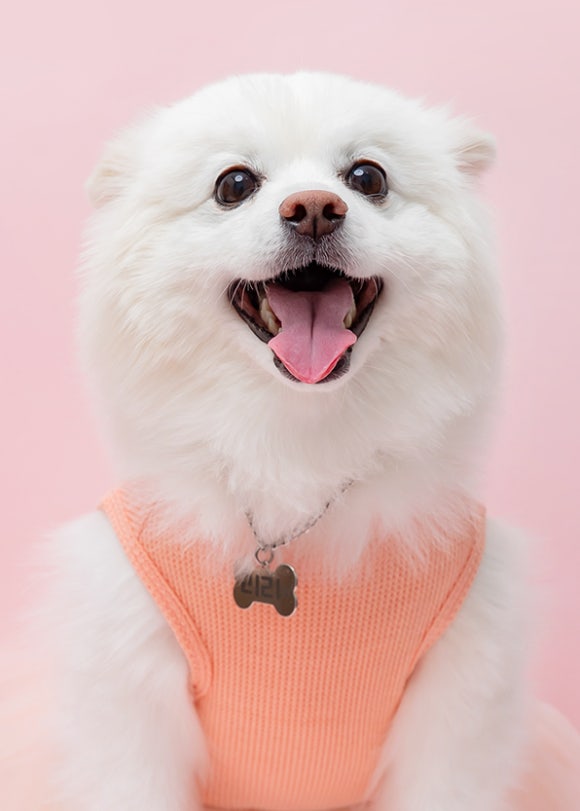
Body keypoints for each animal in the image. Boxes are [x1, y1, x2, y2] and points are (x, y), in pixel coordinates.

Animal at [2, 72, 579, 811]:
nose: (313, 209)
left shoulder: (458, 707)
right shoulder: (129, 703)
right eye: (233, 184)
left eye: (367, 177)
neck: (295, 445)